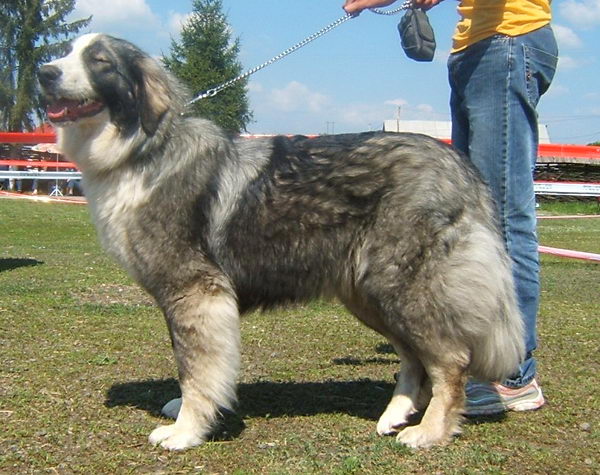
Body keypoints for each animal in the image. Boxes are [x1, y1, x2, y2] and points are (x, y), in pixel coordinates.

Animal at [38, 33, 524, 450]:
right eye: (66, 52)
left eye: (100, 61)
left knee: (450, 360)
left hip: (403, 287)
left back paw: (430, 431)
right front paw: (185, 412)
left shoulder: (194, 291)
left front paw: (187, 430)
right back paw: (396, 414)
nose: (44, 72)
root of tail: (462, 169)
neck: (143, 149)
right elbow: (188, 362)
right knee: (414, 357)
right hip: (370, 293)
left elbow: (196, 367)